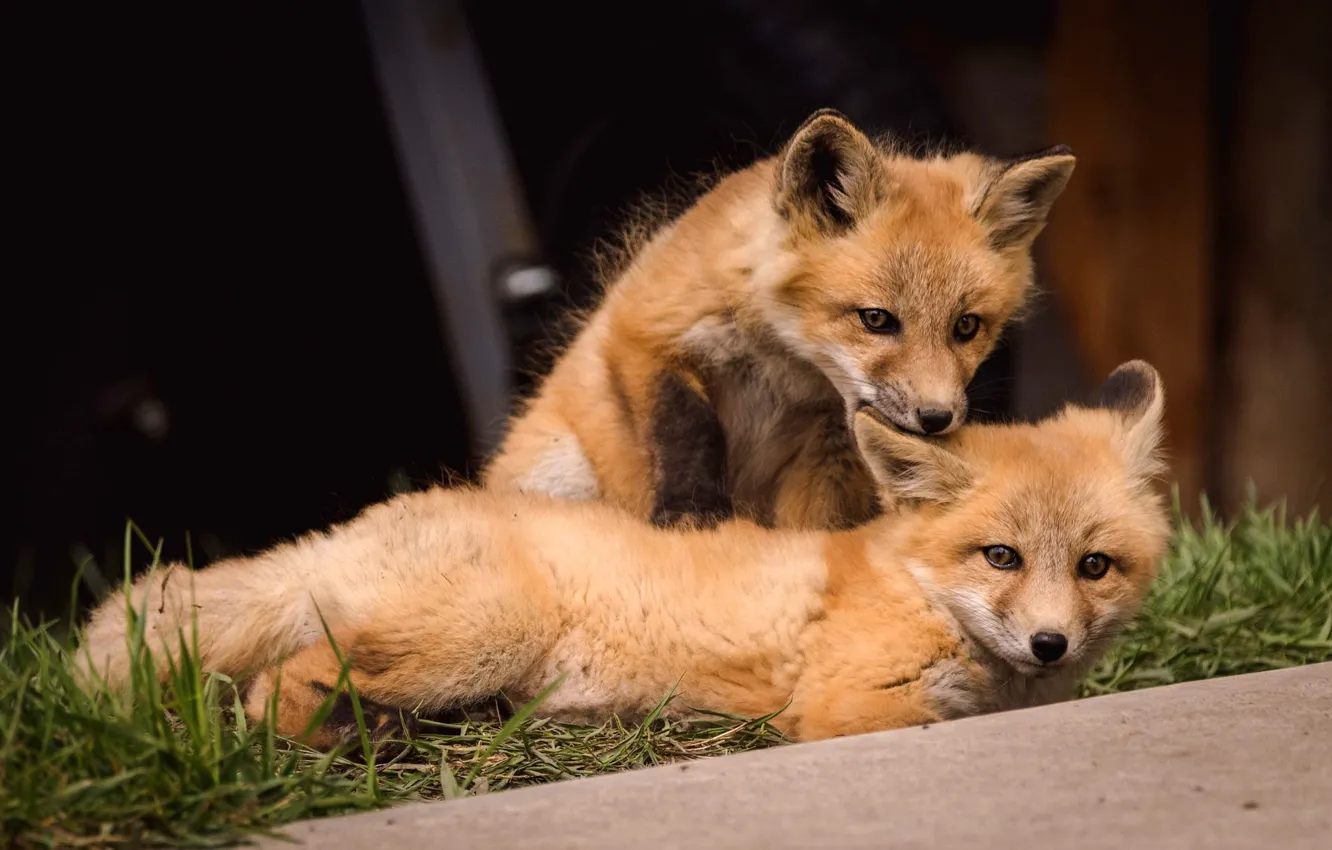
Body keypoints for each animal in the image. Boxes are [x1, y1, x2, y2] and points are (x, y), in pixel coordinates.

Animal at [76, 361, 1169, 748]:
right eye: (999, 556)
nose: (1050, 644)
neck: (911, 585)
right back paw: (319, 746)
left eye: (1095, 567)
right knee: (281, 683)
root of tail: (368, 517)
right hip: (483, 635)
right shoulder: (841, 704)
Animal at [482, 108, 1077, 532]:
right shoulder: (647, 331)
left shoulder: (831, 440)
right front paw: (691, 513)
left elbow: (813, 521)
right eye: (876, 319)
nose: (937, 419)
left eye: (966, 327)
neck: (787, 364)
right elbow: (686, 426)